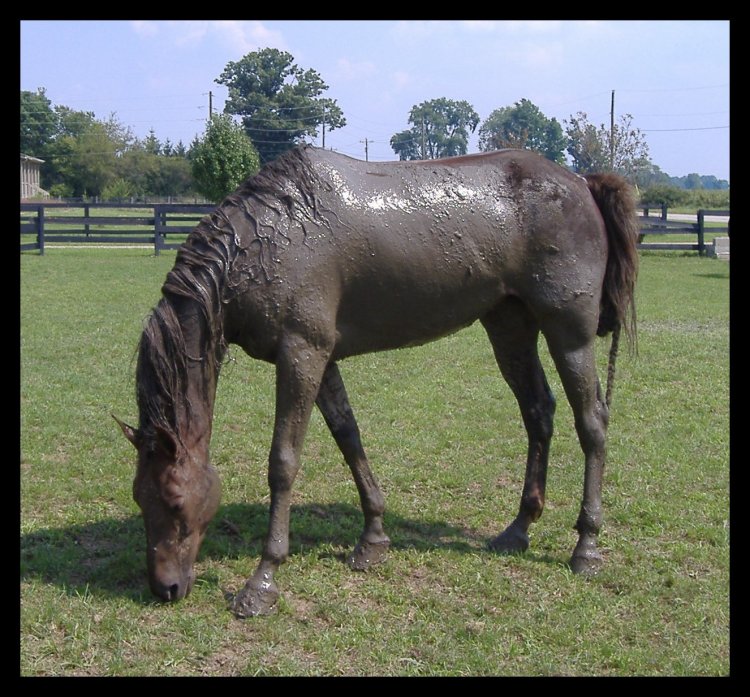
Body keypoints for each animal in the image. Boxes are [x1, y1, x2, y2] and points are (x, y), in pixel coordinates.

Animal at [117, 145, 640, 616]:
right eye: (139, 496)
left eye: (175, 501)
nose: (165, 588)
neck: (269, 236)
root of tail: (581, 183)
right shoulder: (322, 358)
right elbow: (348, 436)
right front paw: (372, 538)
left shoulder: (301, 353)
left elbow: (283, 462)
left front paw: (262, 581)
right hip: (509, 326)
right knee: (538, 412)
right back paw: (518, 529)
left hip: (568, 334)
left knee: (592, 422)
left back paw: (586, 547)